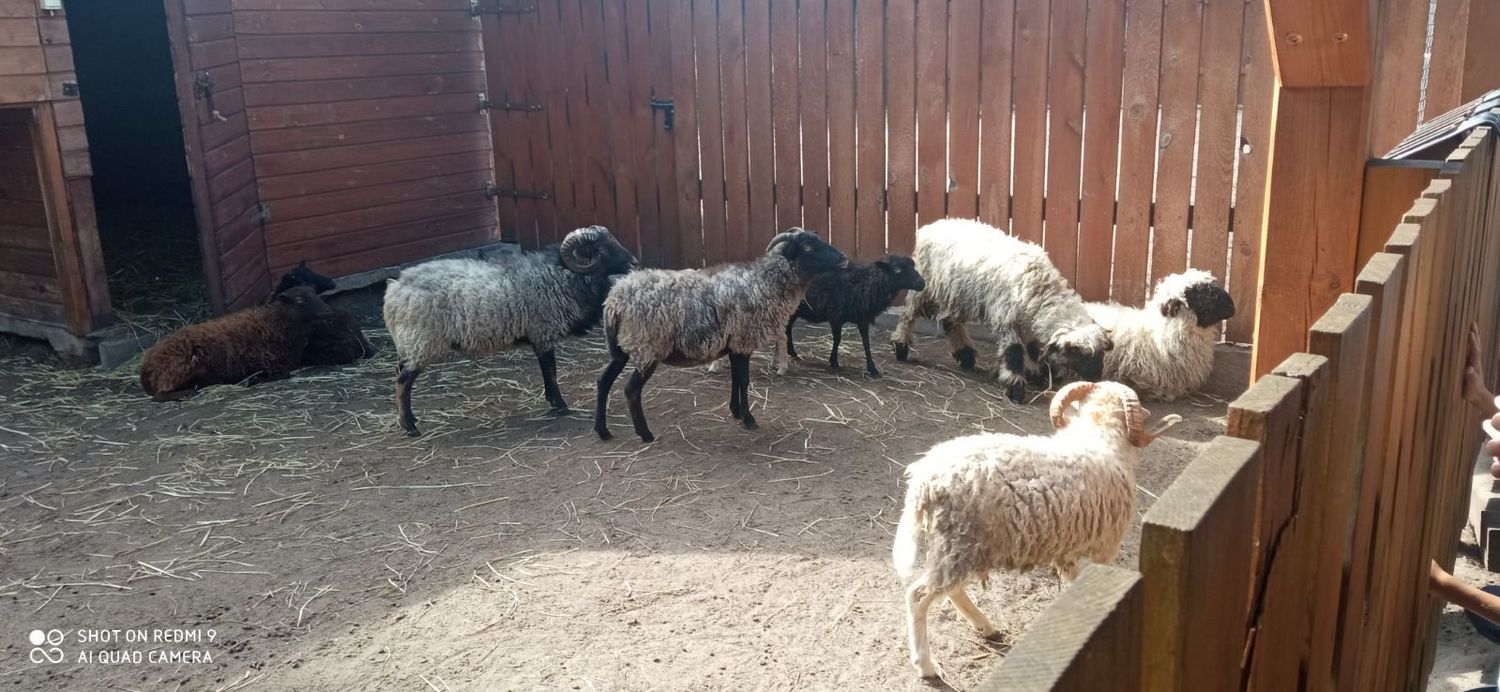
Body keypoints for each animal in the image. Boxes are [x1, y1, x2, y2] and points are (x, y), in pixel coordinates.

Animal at [139, 286, 330, 401]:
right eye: (299, 300)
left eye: (316, 294)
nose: (327, 311)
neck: (274, 322)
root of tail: (145, 366)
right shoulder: (263, 360)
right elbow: (283, 374)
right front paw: (250, 380)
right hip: (178, 366)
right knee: (160, 395)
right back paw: (189, 392)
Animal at [383, 226, 636, 436]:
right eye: (603, 249)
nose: (634, 261)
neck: (559, 274)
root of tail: (394, 291)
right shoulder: (542, 333)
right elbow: (551, 371)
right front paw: (560, 405)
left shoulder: (540, 336)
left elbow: (547, 372)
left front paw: (553, 402)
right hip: (421, 342)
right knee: (403, 381)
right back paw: (410, 427)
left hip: (409, 342)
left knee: (400, 373)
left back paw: (411, 419)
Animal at [594, 229, 847, 442]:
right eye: (808, 247)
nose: (843, 257)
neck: (763, 284)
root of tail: (614, 301)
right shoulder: (743, 341)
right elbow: (743, 381)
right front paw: (749, 419)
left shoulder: (734, 345)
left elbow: (736, 379)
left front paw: (736, 412)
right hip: (647, 347)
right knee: (631, 390)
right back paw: (645, 434)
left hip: (621, 348)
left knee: (603, 382)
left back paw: (603, 431)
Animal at [891, 218, 1113, 404]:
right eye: (1076, 352)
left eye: (1101, 351)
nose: (1096, 377)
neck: (1040, 287)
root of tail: (930, 227)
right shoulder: (1006, 319)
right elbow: (1014, 351)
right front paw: (1015, 388)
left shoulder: (1027, 323)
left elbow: (1033, 349)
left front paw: (1036, 374)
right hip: (924, 285)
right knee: (908, 314)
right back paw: (901, 345)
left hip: (960, 294)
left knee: (949, 321)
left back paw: (965, 354)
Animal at [891, 380, 1182, 679]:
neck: (1098, 438)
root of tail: (924, 479)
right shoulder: (1104, 548)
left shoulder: (1068, 553)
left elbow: (1073, 584)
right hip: (961, 542)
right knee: (919, 595)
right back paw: (926, 665)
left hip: (959, 546)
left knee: (951, 589)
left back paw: (986, 627)